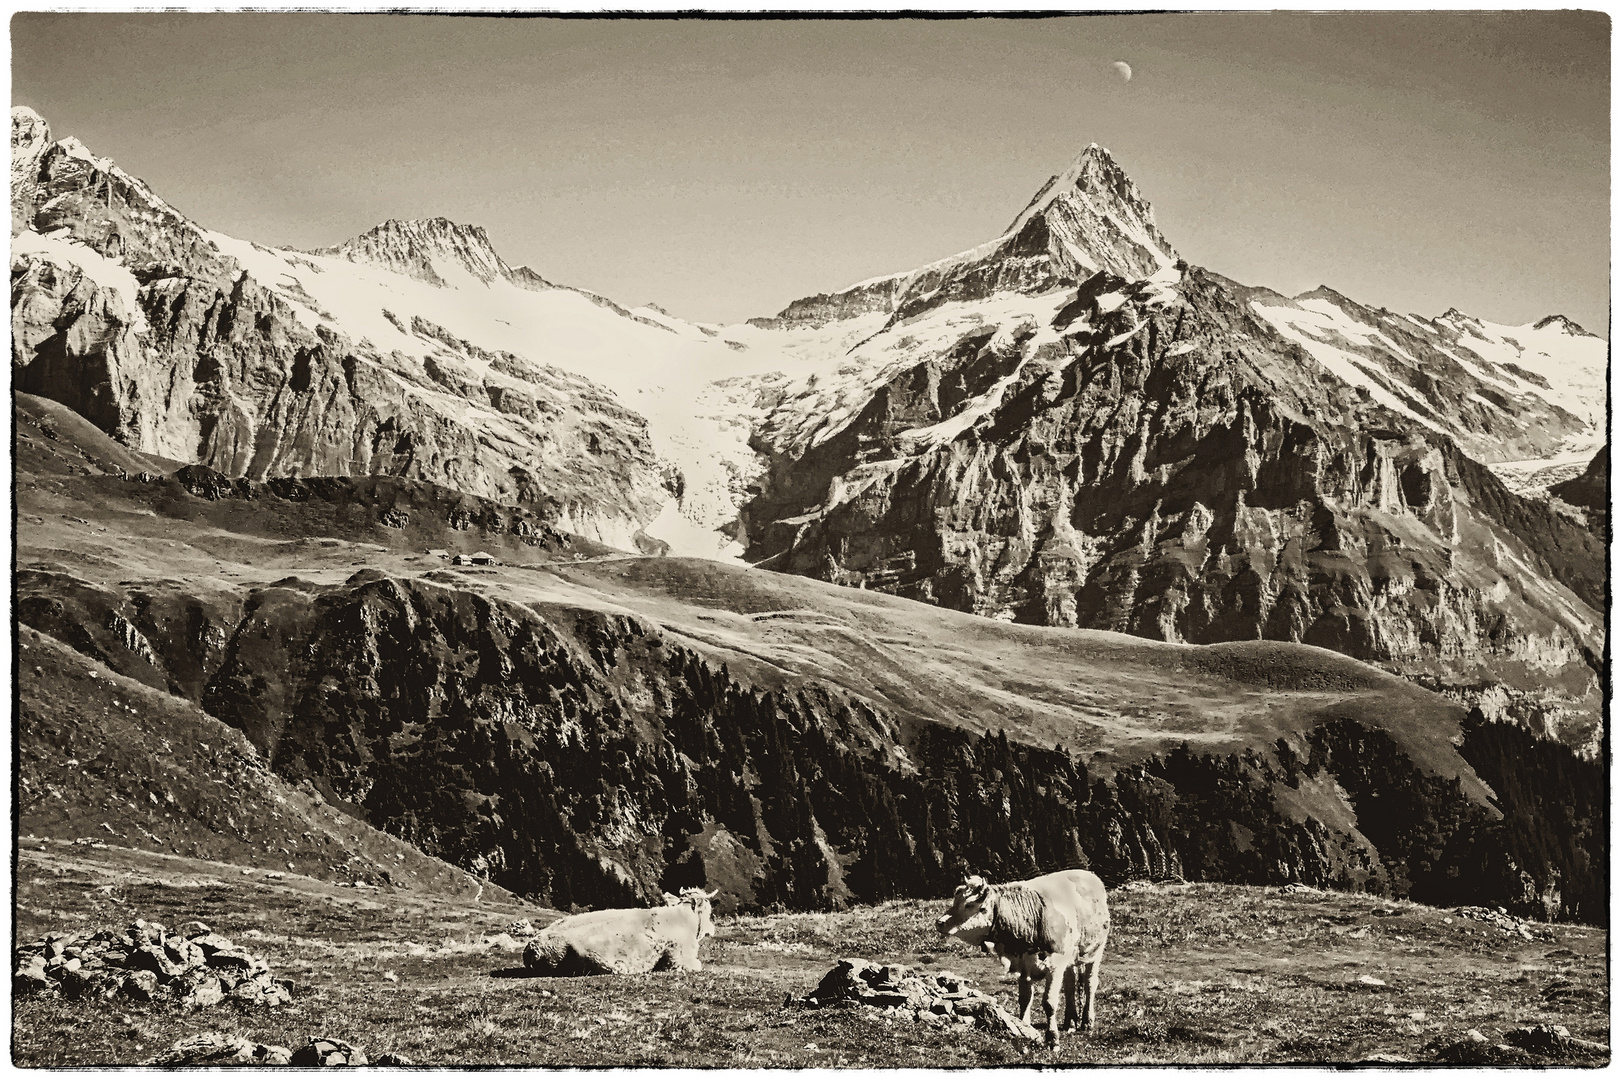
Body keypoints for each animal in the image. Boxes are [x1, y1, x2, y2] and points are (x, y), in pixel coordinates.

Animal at [940, 869, 1115, 1044]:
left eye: (969, 905)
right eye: (955, 900)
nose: (939, 922)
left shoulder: (1055, 963)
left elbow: (1049, 1002)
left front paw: (1052, 1037)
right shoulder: (1023, 964)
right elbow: (1024, 999)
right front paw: (1024, 1027)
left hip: (1096, 951)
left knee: (1090, 983)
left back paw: (1087, 1021)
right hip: (1070, 957)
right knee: (1070, 984)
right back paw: (1070, 1022)